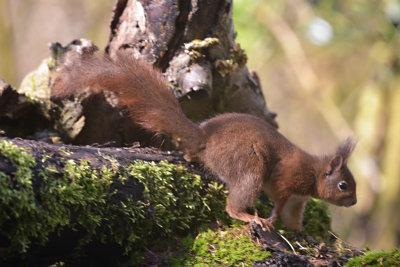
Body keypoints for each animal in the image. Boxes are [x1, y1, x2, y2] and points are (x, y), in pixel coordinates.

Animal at [51, 52, 358, 232]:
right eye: (343, 185)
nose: (354, 202)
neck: (314, 174)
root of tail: (205, 137)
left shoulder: (297, 200)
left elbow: (293, 217)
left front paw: (302, 234)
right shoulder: (287, 180)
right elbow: (279, 205)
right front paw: (270, 220)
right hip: (250, 166)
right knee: (234, 204)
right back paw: (250, 217)